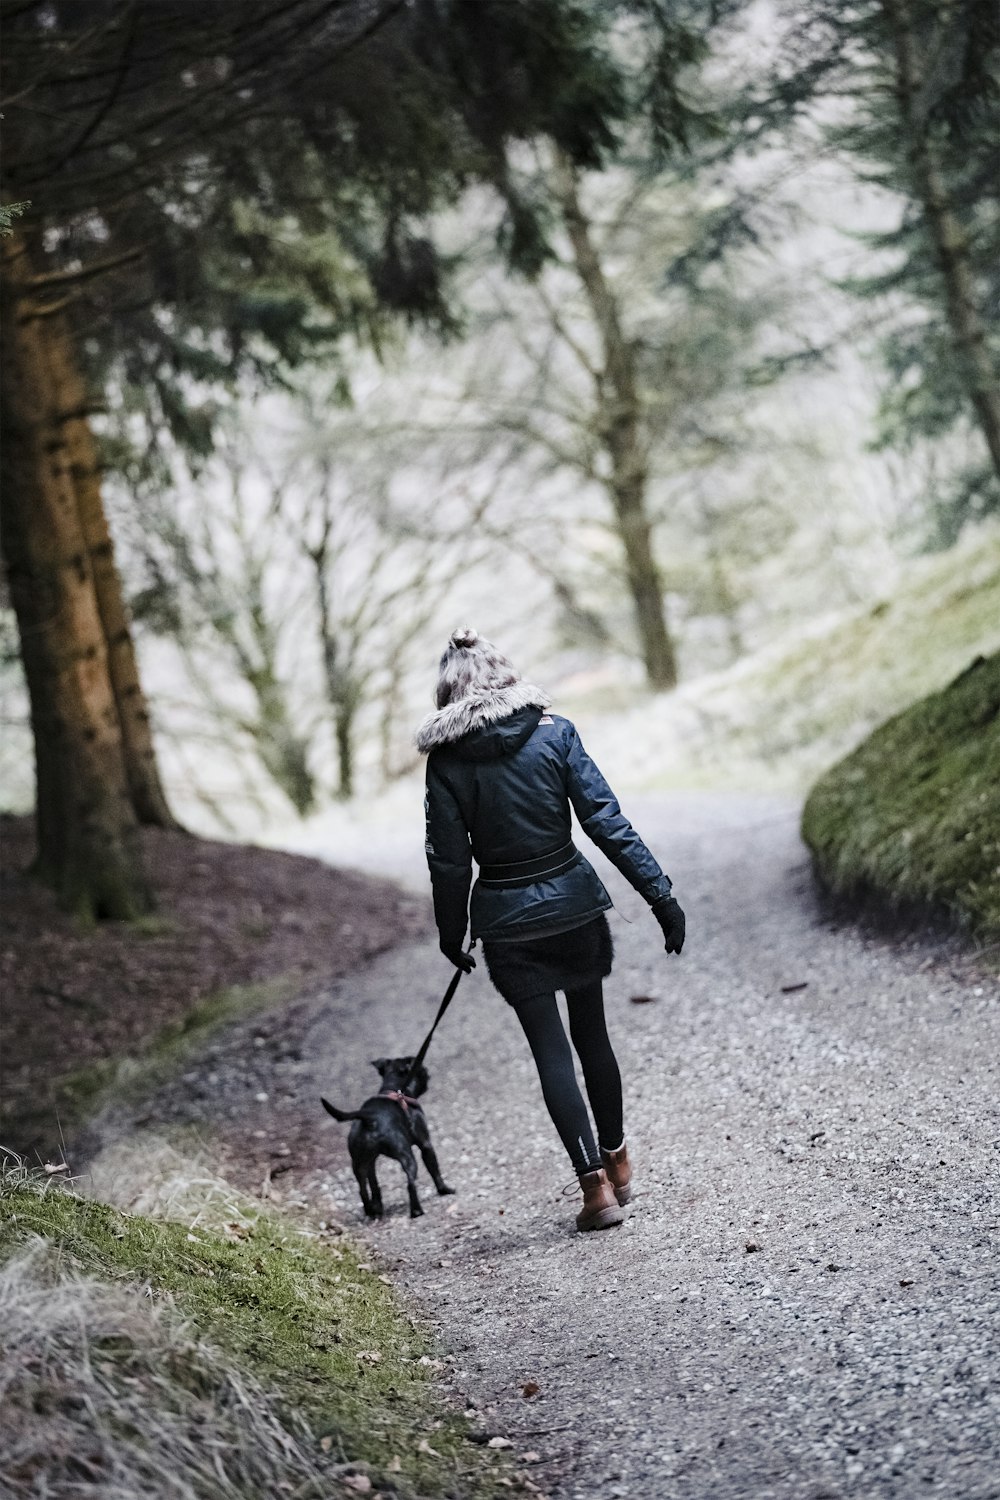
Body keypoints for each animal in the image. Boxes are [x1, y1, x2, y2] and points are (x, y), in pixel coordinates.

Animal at [320, 1056, 452, 1218]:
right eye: (423, 1070)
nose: (428, 1073)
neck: (395, 1088)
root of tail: (369, 1118)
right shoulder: (426, 1145)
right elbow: (435, 1171)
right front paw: (444, 1190)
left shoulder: (370, 1161)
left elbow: (373, 1183)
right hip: (407, 1157)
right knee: (410, 1183)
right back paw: (416, 1210)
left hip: (359, 1164)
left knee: (362, 1190)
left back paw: (371, 1211)